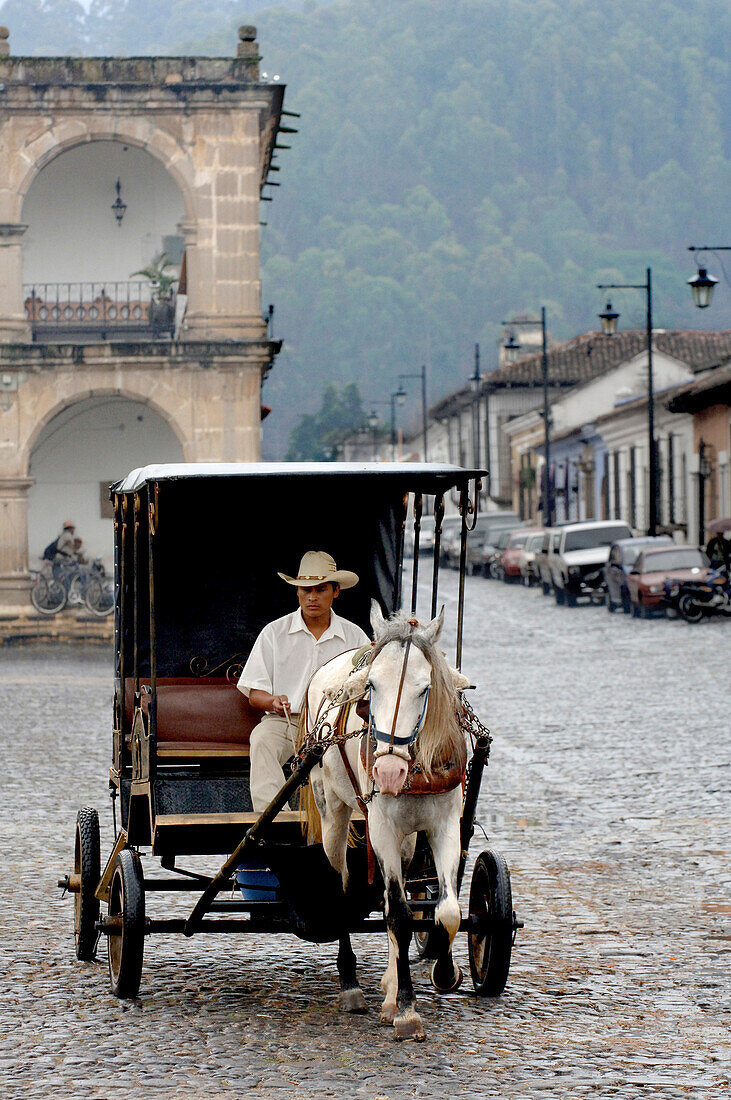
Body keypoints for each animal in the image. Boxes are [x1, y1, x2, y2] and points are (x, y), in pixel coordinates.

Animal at [301, 602, 468, 1038]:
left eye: (425, 689)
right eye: (371, 686)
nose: (389, 772)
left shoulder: (444, 825)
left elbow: (446, 911)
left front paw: (442, 972)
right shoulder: (381, 829)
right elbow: (399, 915)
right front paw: (408, 1009)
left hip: (407, 841)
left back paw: (390, 988)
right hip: (333, 810)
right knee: (342, 887)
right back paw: (350, 986)